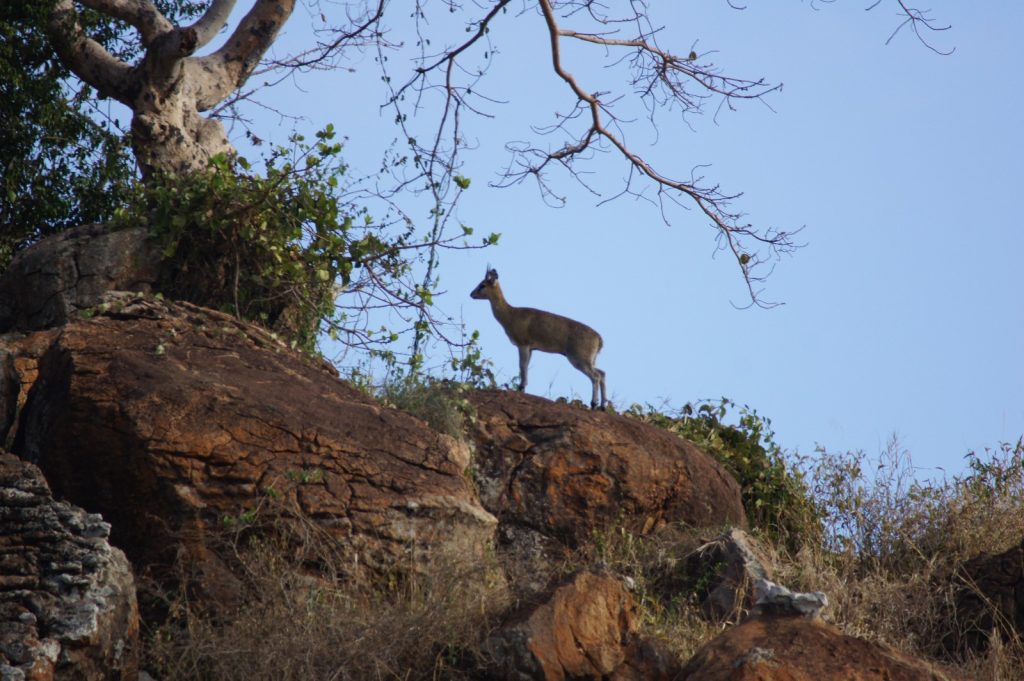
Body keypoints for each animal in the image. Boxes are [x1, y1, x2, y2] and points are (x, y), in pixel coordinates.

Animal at [471, 268, 606, 409]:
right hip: (590, 360)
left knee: (596, 376)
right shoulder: (531, 348)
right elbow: (525, 366)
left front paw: (521, 388)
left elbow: (522, 366)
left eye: (482, 285)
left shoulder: (523, 344)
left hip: (578, 358)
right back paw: (602, 406)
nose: (471, 294)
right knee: (602, 373)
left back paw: (594, 403)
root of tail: (599, 339)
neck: (510, 315)